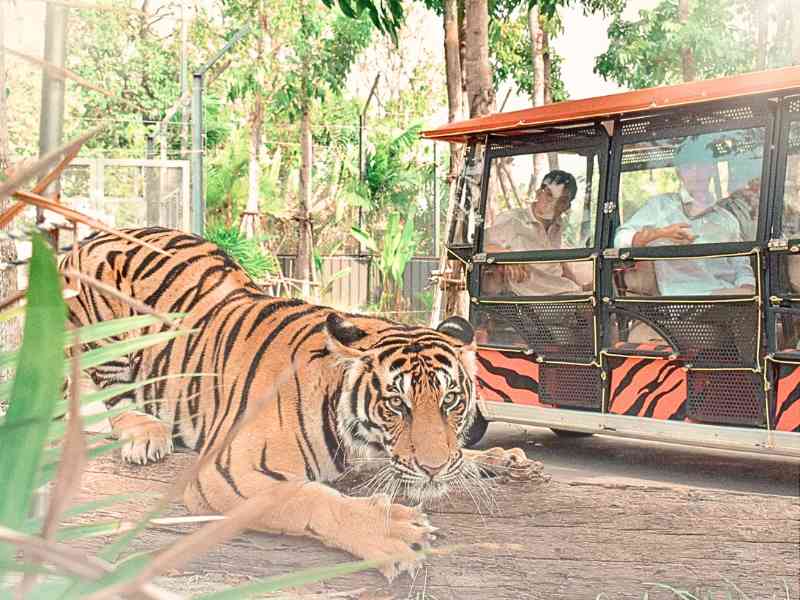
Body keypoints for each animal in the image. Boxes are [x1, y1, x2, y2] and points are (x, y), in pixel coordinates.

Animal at [59, 227, 536, 577]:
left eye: (451, 400)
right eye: (396, 404)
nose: (434, 468)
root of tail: (89, 238)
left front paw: (497, 458)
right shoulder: (229, 469)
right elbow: (310, 498)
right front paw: (392, 532)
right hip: (104, 332)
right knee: (109, 397)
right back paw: (145, 433)